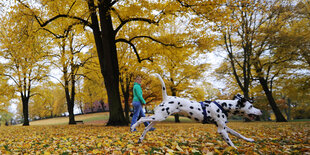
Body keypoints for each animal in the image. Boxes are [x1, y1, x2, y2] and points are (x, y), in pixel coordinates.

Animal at [130, 74, 262, 149]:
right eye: (251, 106)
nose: (260, 111)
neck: (223, 106)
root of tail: (167, 97)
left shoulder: (225, 128)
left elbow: (238, 134)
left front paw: (249, 140)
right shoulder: (221, 130)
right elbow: (231, 143)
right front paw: (235, 149)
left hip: (157, 119)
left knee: (146, 127)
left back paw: (140, 139)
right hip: (158, 117)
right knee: (141, 118)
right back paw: (133, 127)